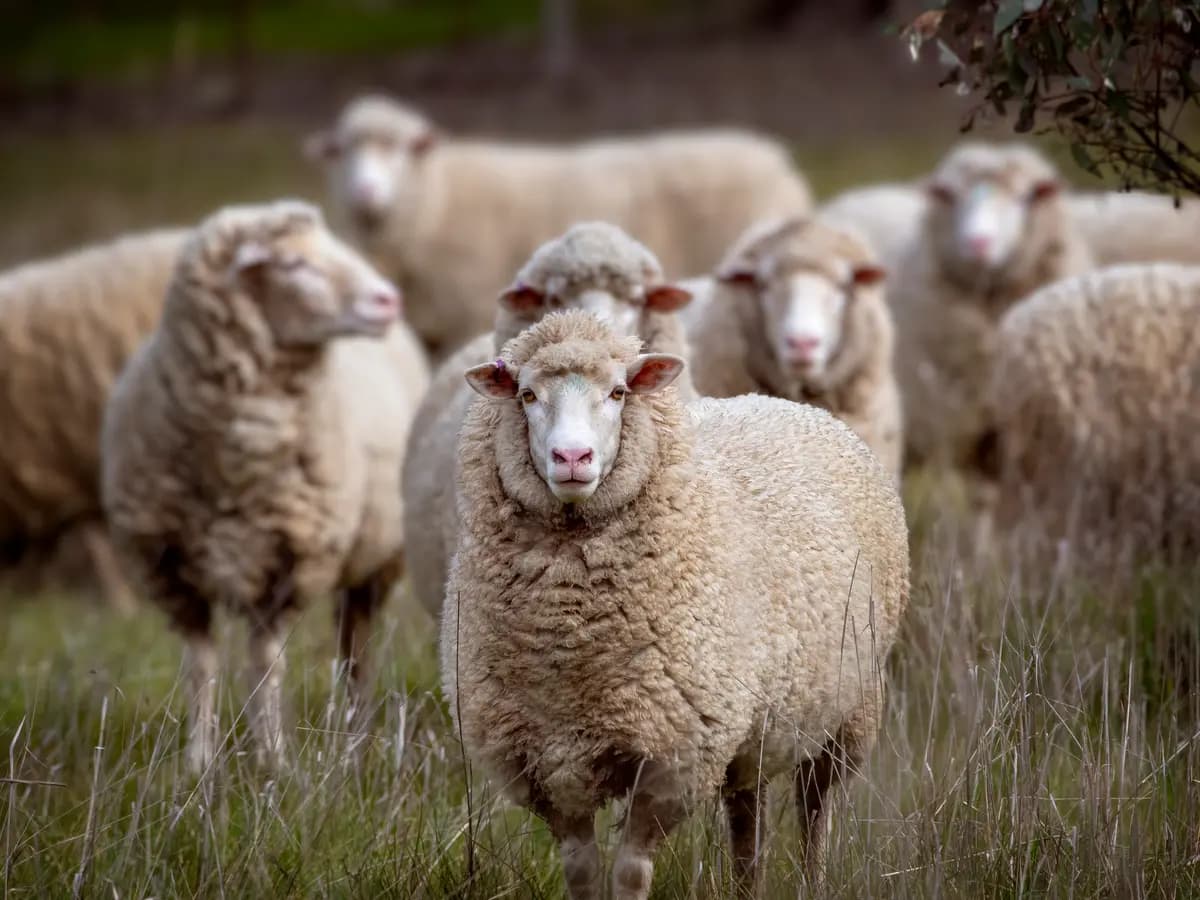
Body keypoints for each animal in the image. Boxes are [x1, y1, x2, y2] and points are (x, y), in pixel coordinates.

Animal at [101, 200, 430, 773]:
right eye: (294, 264)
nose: (388, 299)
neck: (236, 461)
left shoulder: (289, 565)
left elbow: (265, 666)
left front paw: (274, 761)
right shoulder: (172, 572)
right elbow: (201, 666)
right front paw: (199, 763)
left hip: (375, 562)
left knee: (357, 651)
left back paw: (356, 738)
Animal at [305, 94, 811, 358]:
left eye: (401, 149)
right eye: (343, 152)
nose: (365, 191)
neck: (437, 196)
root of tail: (776, 157)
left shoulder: (460, 317)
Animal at [443, 310, 909, 899]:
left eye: (618, 392)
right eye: (527, 395)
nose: (572, 457)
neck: (571, 641)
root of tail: (783, 403)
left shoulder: (673, 758)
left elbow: (630, 871)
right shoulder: (548, 762)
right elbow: (582, 871)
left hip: (848, 711)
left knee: (815, 811)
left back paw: (813, 881)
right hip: (750, 727)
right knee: (747, 816)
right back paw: (746, 886)